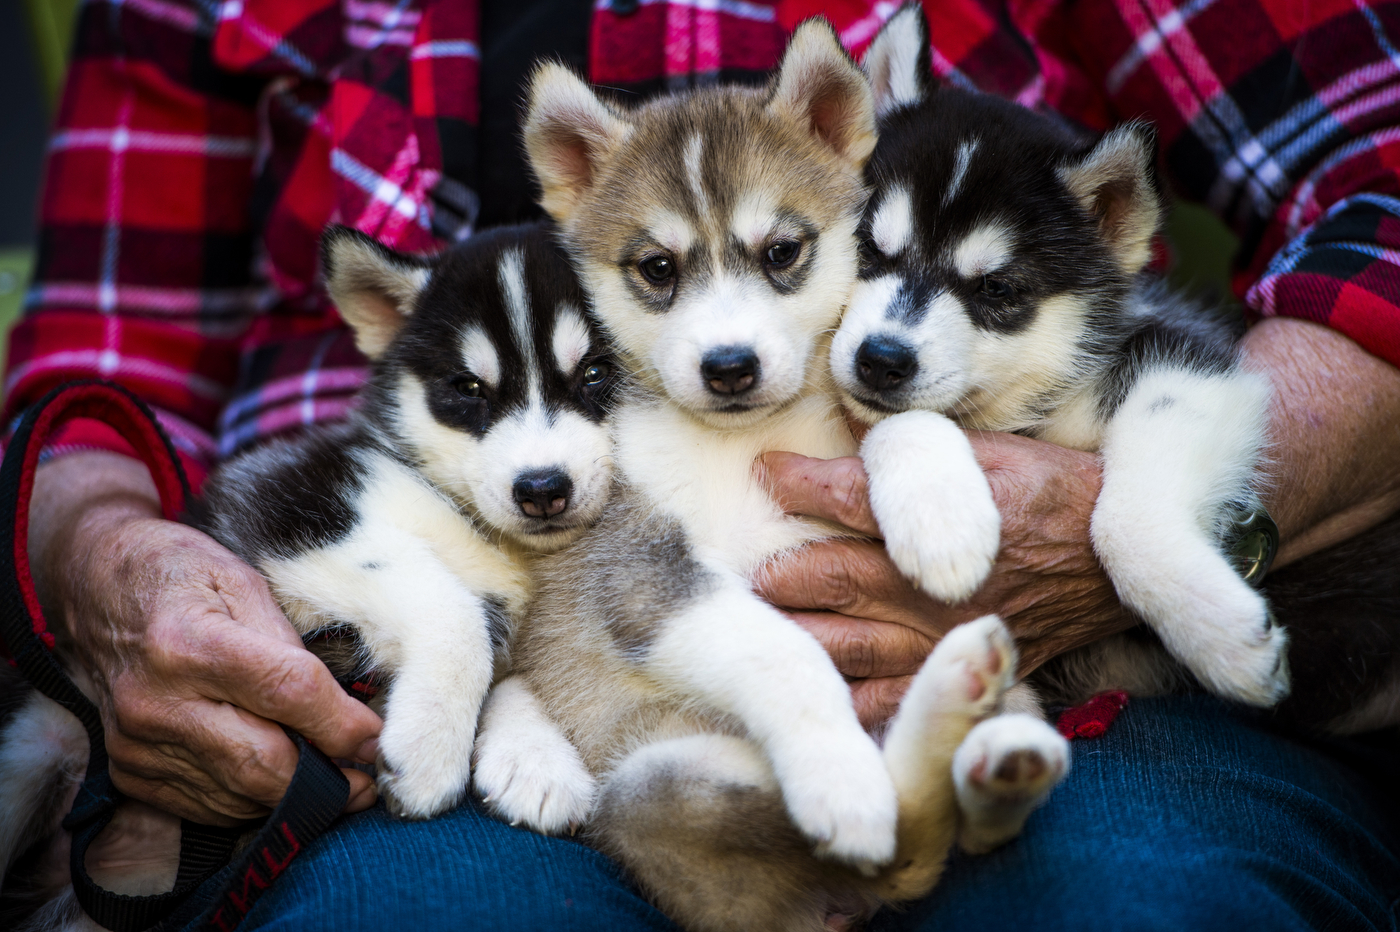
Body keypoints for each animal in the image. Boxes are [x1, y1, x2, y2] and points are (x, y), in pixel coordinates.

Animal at [0, 223, 624, 929]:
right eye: (468, 389)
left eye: (597, 373)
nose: (542, 489)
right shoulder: (293, 516)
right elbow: (447, 602)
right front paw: (431, 747)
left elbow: (511, 675)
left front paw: (537, 760)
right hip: (32, 747)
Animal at [470, 21, 1069, 929]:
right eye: (657, 268)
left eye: (782, 251)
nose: (729, 367)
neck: (742, 444)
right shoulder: (646, 574)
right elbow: (784, 653)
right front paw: (841, 779)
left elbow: (902, 416)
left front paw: (943, 523)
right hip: (658, 783)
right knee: (905, 839)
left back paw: (994, 742)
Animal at [828, 3, 1288, 708]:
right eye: (867, 251)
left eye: (996, 290)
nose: (881, 359)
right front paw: (939, 520)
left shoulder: (1187, 359)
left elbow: (1121, 520)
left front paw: (1218, 632)